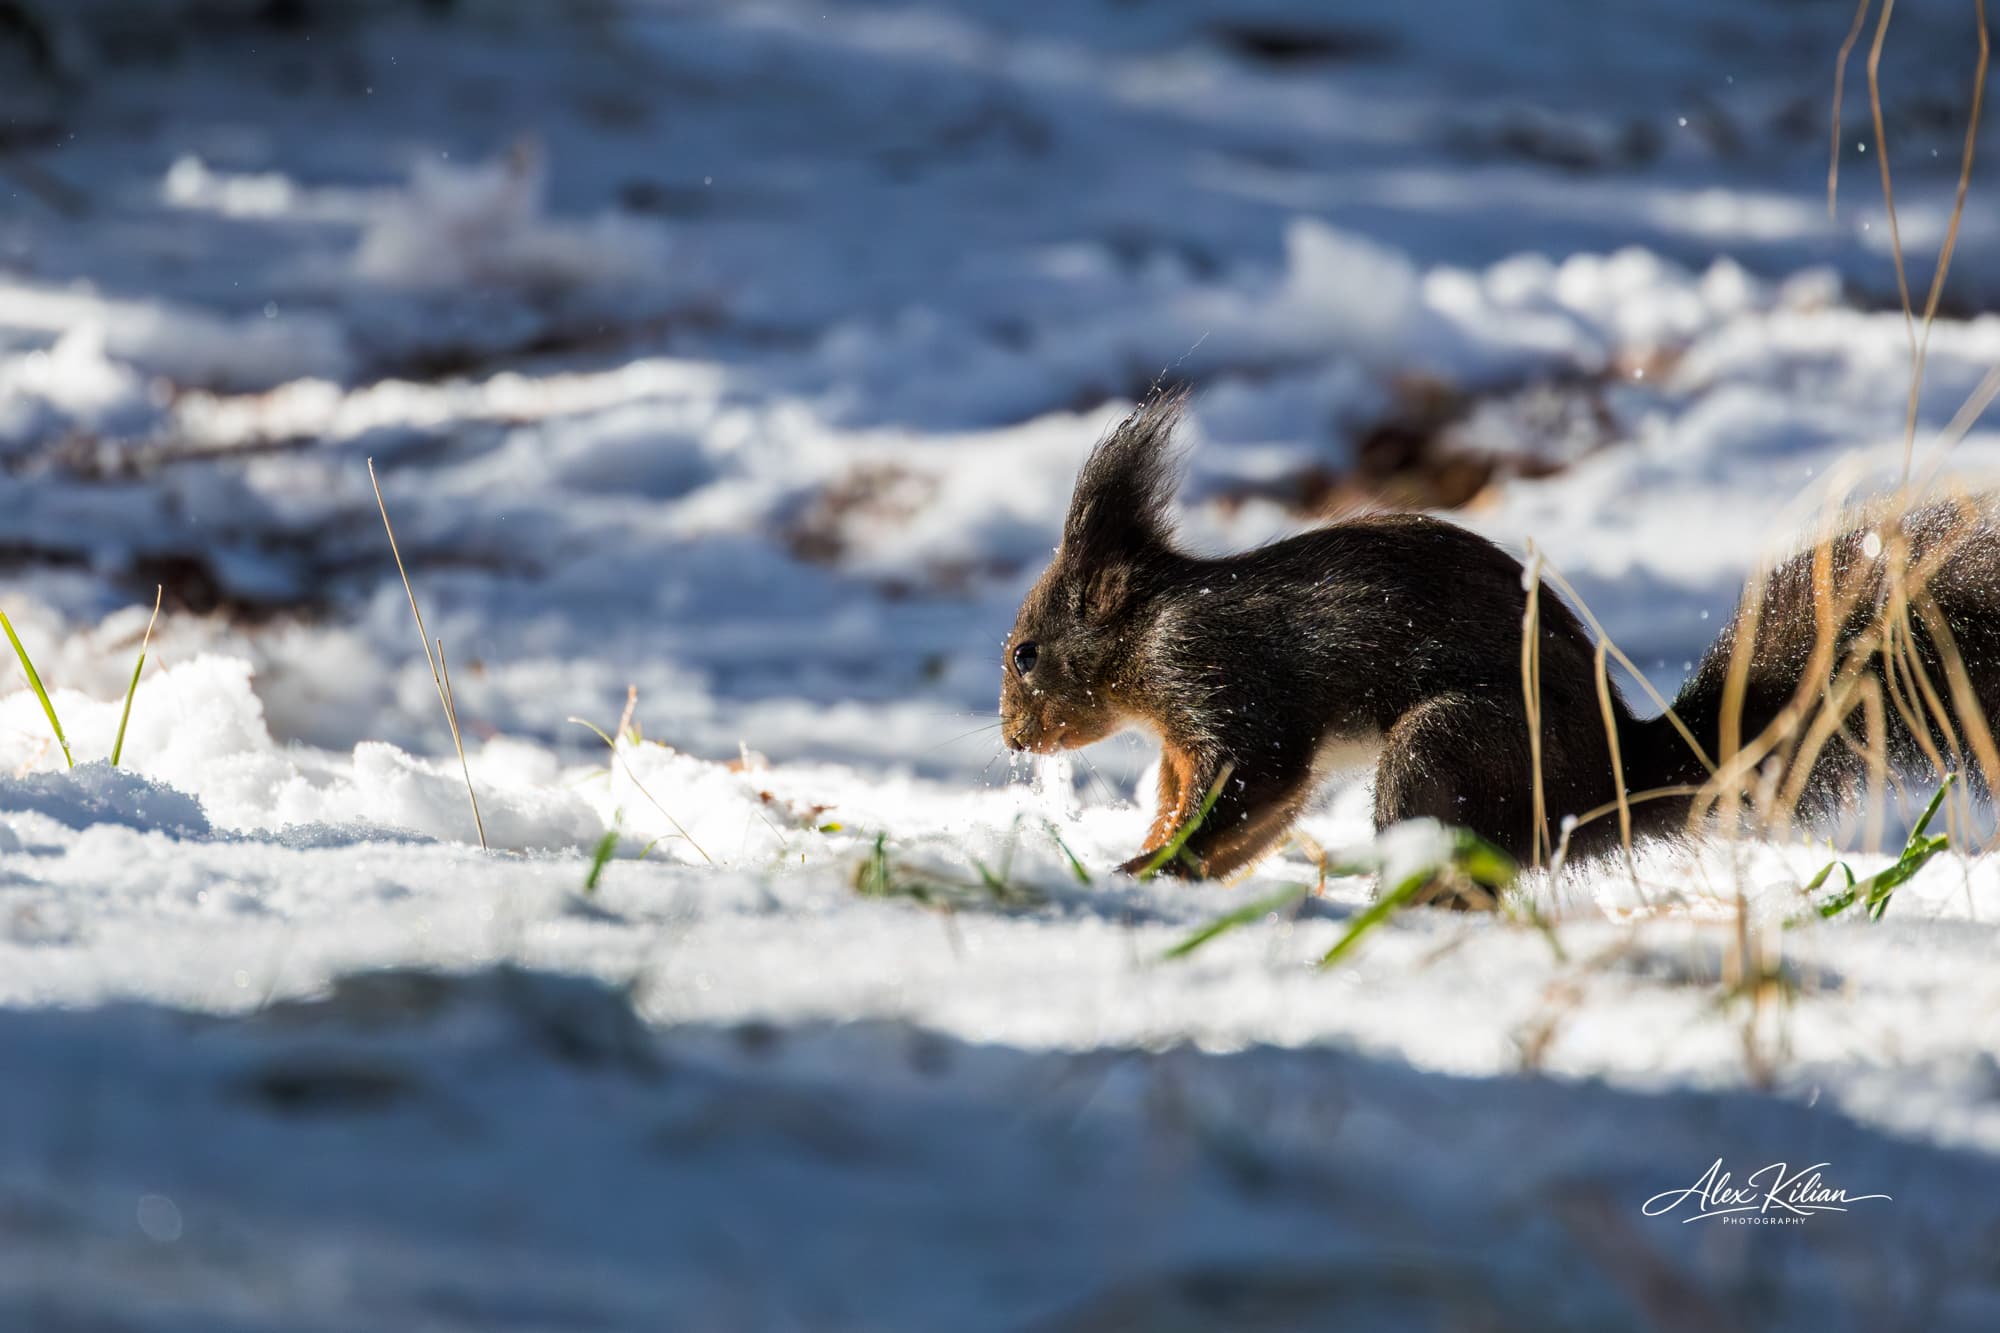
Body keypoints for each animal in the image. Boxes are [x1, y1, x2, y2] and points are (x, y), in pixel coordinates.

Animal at [999, 391, 2000, 879]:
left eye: (1025, 653)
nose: (1011, 736)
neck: (1151, 630)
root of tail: (1610, 783)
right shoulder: (1183, 741)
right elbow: (1228, 811)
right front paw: (1158, 854)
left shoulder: (1219, 679)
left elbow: (1247, 786)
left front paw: (1155, 864)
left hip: (1452, 742)